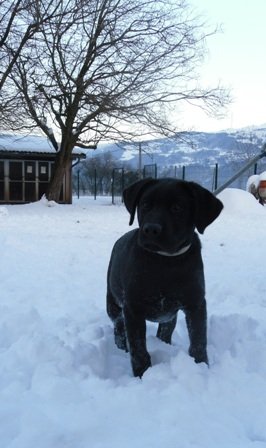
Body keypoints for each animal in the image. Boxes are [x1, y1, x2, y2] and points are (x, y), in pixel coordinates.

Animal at [106, 178, 222, 378]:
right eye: (145, 205)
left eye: (177, 208)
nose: (151, 229)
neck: (165, 262)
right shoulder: (133, 309)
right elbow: (138, 348)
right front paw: (142, 374)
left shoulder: (196, 304)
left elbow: (199, 341)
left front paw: (201, 366)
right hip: (113, 301)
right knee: (118, 325)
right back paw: (121, 346)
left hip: (169, 314)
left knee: (166, 329)